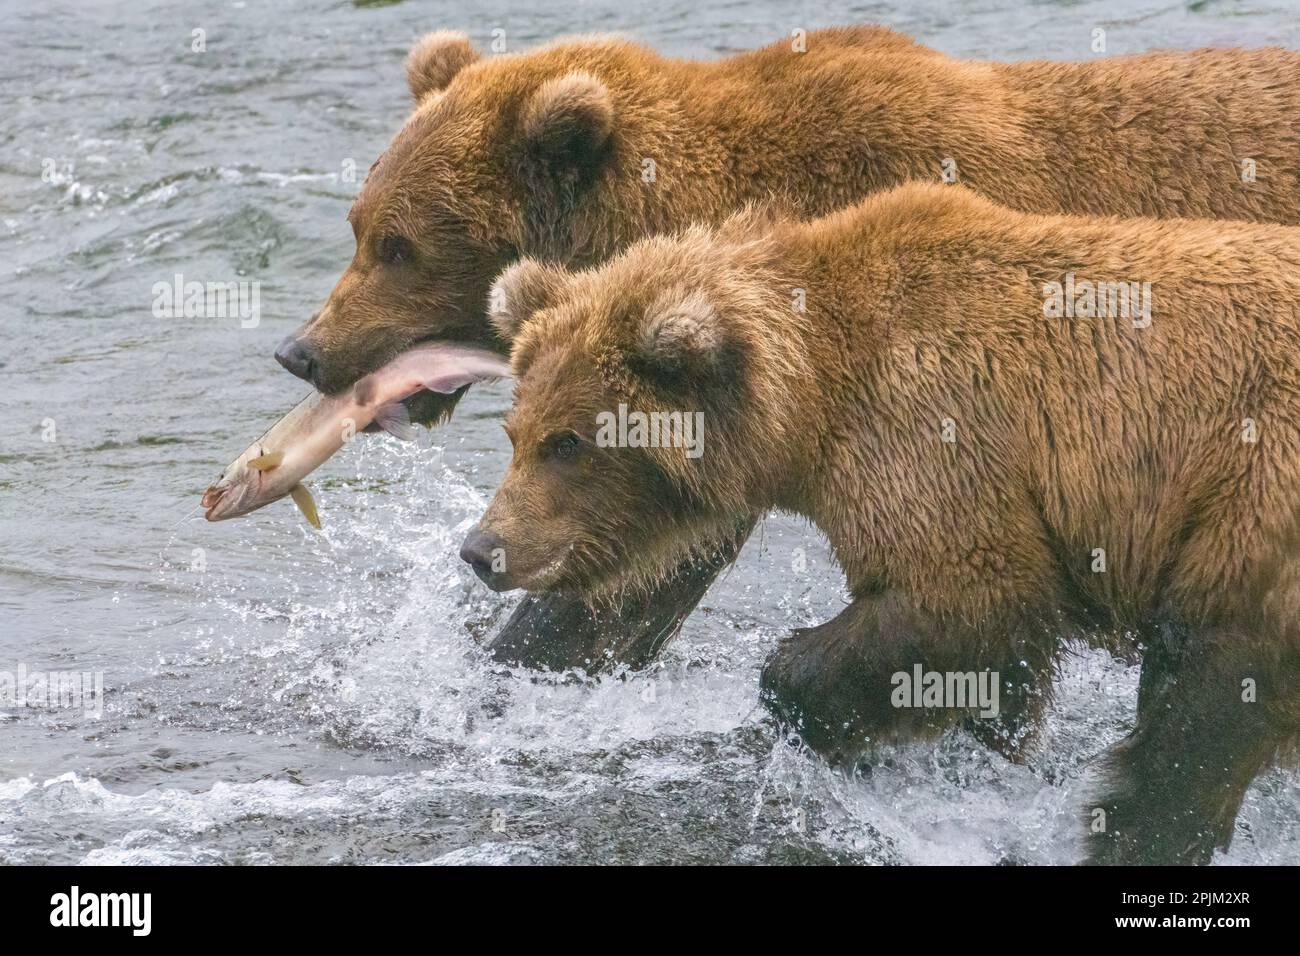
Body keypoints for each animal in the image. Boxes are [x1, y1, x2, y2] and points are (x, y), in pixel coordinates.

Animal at [463, 181, 1300, 865]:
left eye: (567, 443)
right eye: (515, 432)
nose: (483, 548)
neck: (811, 397)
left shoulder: (936, 435)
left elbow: (965, 604)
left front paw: (813, 703)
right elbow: (991, 668)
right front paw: (972, 759)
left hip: (1251, 497)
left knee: (1204, 693)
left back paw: (1126, 829)